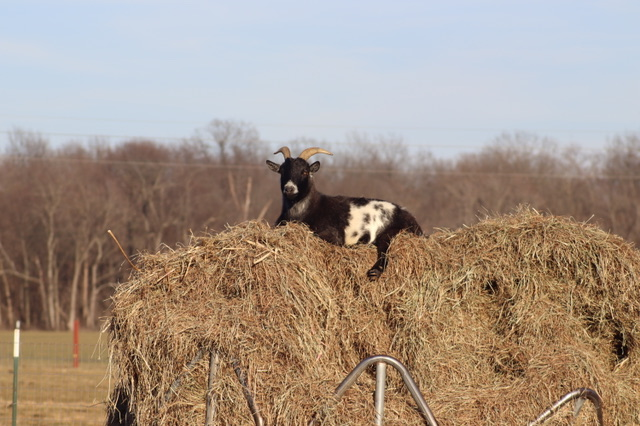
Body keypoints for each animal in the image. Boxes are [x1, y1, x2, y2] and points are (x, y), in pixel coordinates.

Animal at [266, 146, 423, 280]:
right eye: (282, 171)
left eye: (305, 171)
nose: (289, 188)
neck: (310, 208)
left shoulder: (333, 235)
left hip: (391, 232)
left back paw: (374, 272)